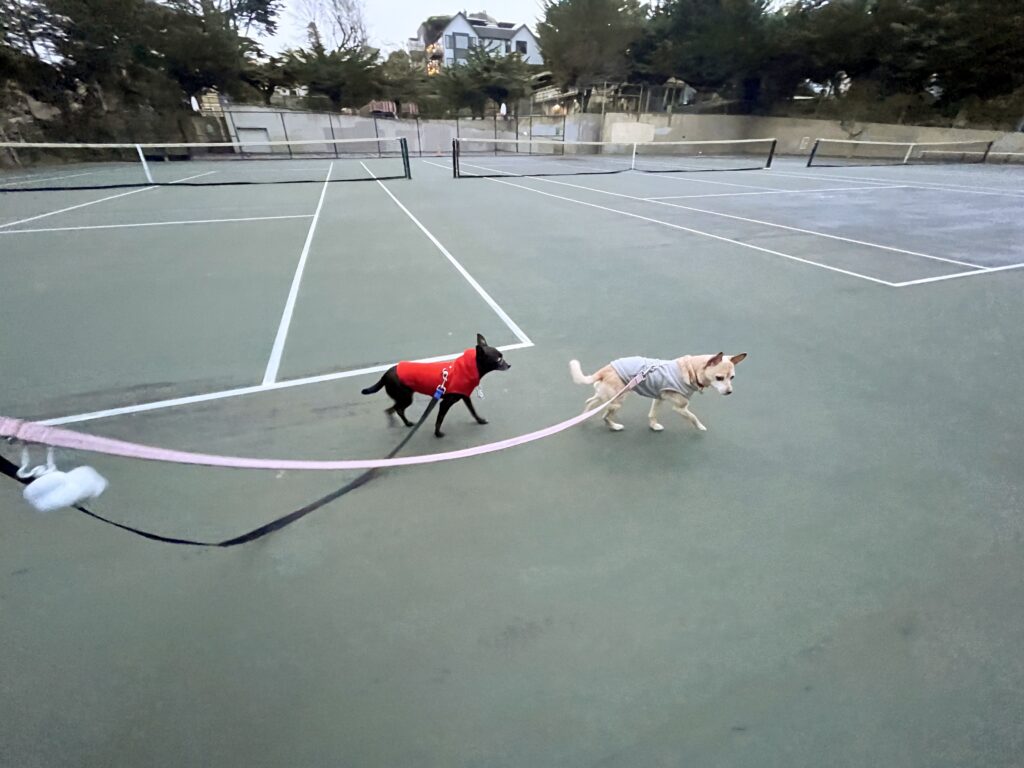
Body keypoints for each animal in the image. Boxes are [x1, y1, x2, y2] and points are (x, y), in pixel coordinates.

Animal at [362, 333, 509, 436]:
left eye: (502, 357)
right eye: (498, 359)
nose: (509, 365)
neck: (468, 369)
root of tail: (385, 374)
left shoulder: (465, 397)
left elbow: (473, 410)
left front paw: (480, 420)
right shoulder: (445, 403)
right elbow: (440, 419)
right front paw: (437, 434)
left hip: (402, 398)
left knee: (391, 409)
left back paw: (400, 422)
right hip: (405, 398)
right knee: (398, 409)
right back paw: (406, 422)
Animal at [569, 354, 745, 434]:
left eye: (732, 378)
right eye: (719, 378)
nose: (729, 392)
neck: (691, 371)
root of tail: (605, 369)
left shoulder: (658, 398)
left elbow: (652, 414)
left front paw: (653, 425)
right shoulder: (680, 408)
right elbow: (693, 416)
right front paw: (700, 426)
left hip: (605, 395)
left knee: (590, 402)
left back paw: (582, 418)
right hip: (617, 400)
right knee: (604, 415)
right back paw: (614, 426)